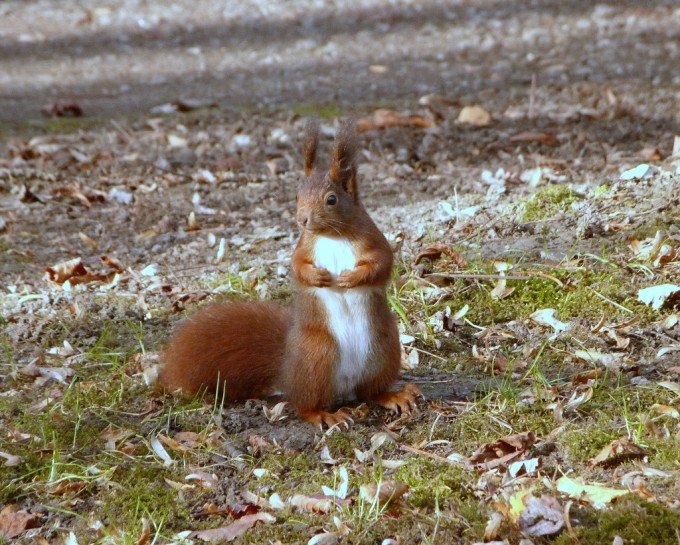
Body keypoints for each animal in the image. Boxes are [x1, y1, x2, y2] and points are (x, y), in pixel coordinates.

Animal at [159, 119, 421, 428]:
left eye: (331, 199)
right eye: (296, 195)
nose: (302, 219)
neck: (331, 235)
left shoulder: (373, 240)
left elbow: (381, 264)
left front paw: (349, 278)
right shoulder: (302, 247)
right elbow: (297, 266)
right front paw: (319, 278)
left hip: (383, 348)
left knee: (370, 392)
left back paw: (394, 396)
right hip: (318, 353)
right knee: (304, 405)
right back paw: (326, 414)